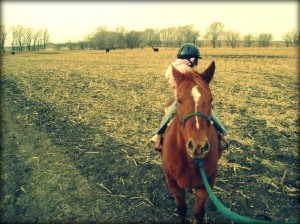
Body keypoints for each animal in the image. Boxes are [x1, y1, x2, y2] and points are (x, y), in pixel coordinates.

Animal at [162, 60, 220, 223]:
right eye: (180, 100)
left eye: (211, 99)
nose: (198, 146)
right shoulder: (174, 185)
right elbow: (182, 209)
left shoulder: (205, 185)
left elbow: (199, 213)